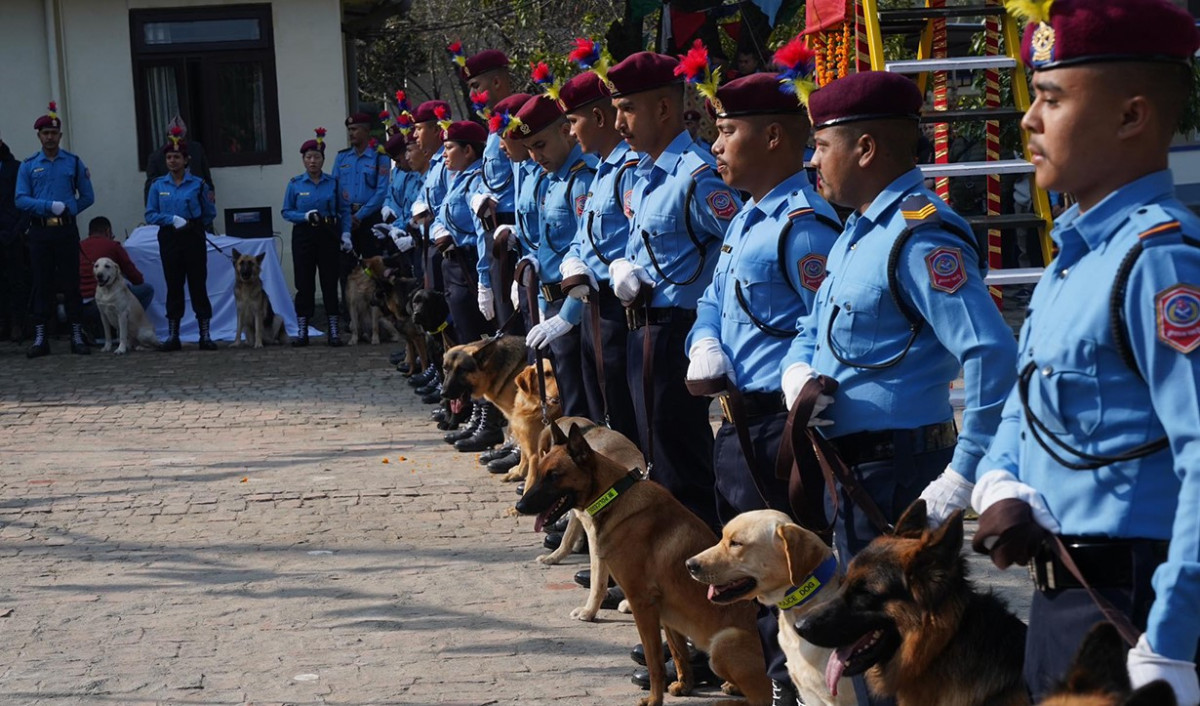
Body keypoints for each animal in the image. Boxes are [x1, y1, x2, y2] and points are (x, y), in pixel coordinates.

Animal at [516, 425, 768, 706]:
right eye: (539, 473)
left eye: (554, 476)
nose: (519, 506)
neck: (613, 497)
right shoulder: (665, 611)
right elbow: (678, 652)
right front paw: (684, 684)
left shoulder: (642, 604)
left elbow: (653, 659)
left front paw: (654, 699)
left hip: (724, 642)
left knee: (764, 698)